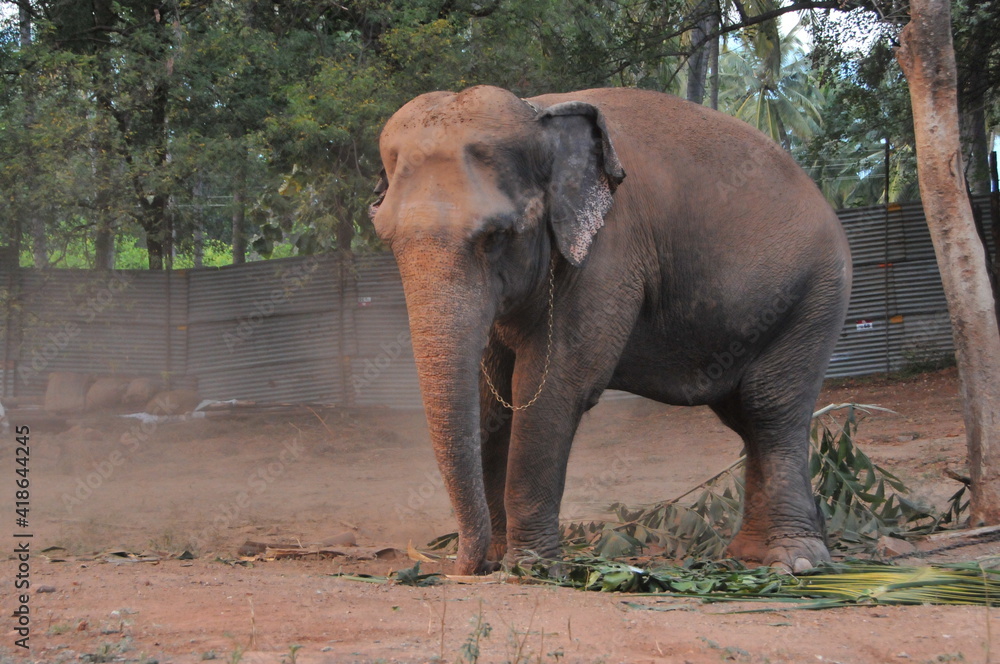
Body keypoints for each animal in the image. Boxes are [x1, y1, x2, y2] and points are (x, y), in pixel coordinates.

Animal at [369, 85, 852, 575]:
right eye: (386, 239)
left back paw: (795, 560)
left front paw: (531, 570)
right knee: (745, 418)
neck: (538, 113)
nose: (461, 567)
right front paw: (501, 559)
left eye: (496, 236)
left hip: (815, 296)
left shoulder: (610, 252)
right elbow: (492, 395)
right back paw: (750, 555)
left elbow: (554, 386)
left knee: (770, 408)